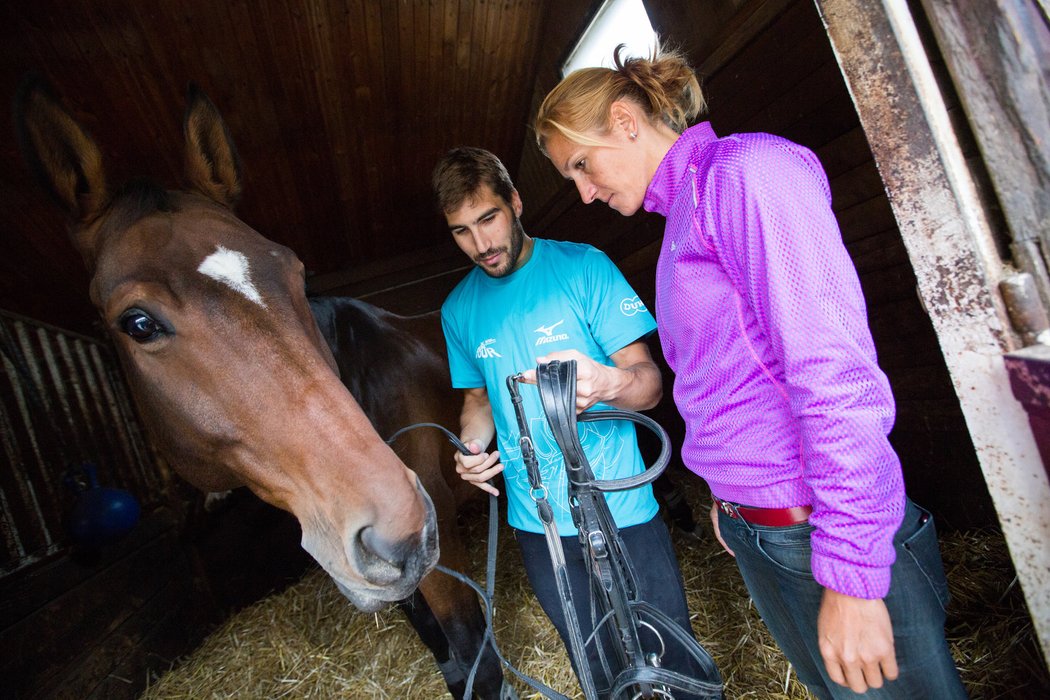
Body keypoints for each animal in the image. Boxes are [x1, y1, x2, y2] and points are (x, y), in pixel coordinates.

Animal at [15, 76, 508, 700]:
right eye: (138, 323)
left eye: (296, 273)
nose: (402, 525)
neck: (361, 374)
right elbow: (447, 654)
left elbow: (477, 662)